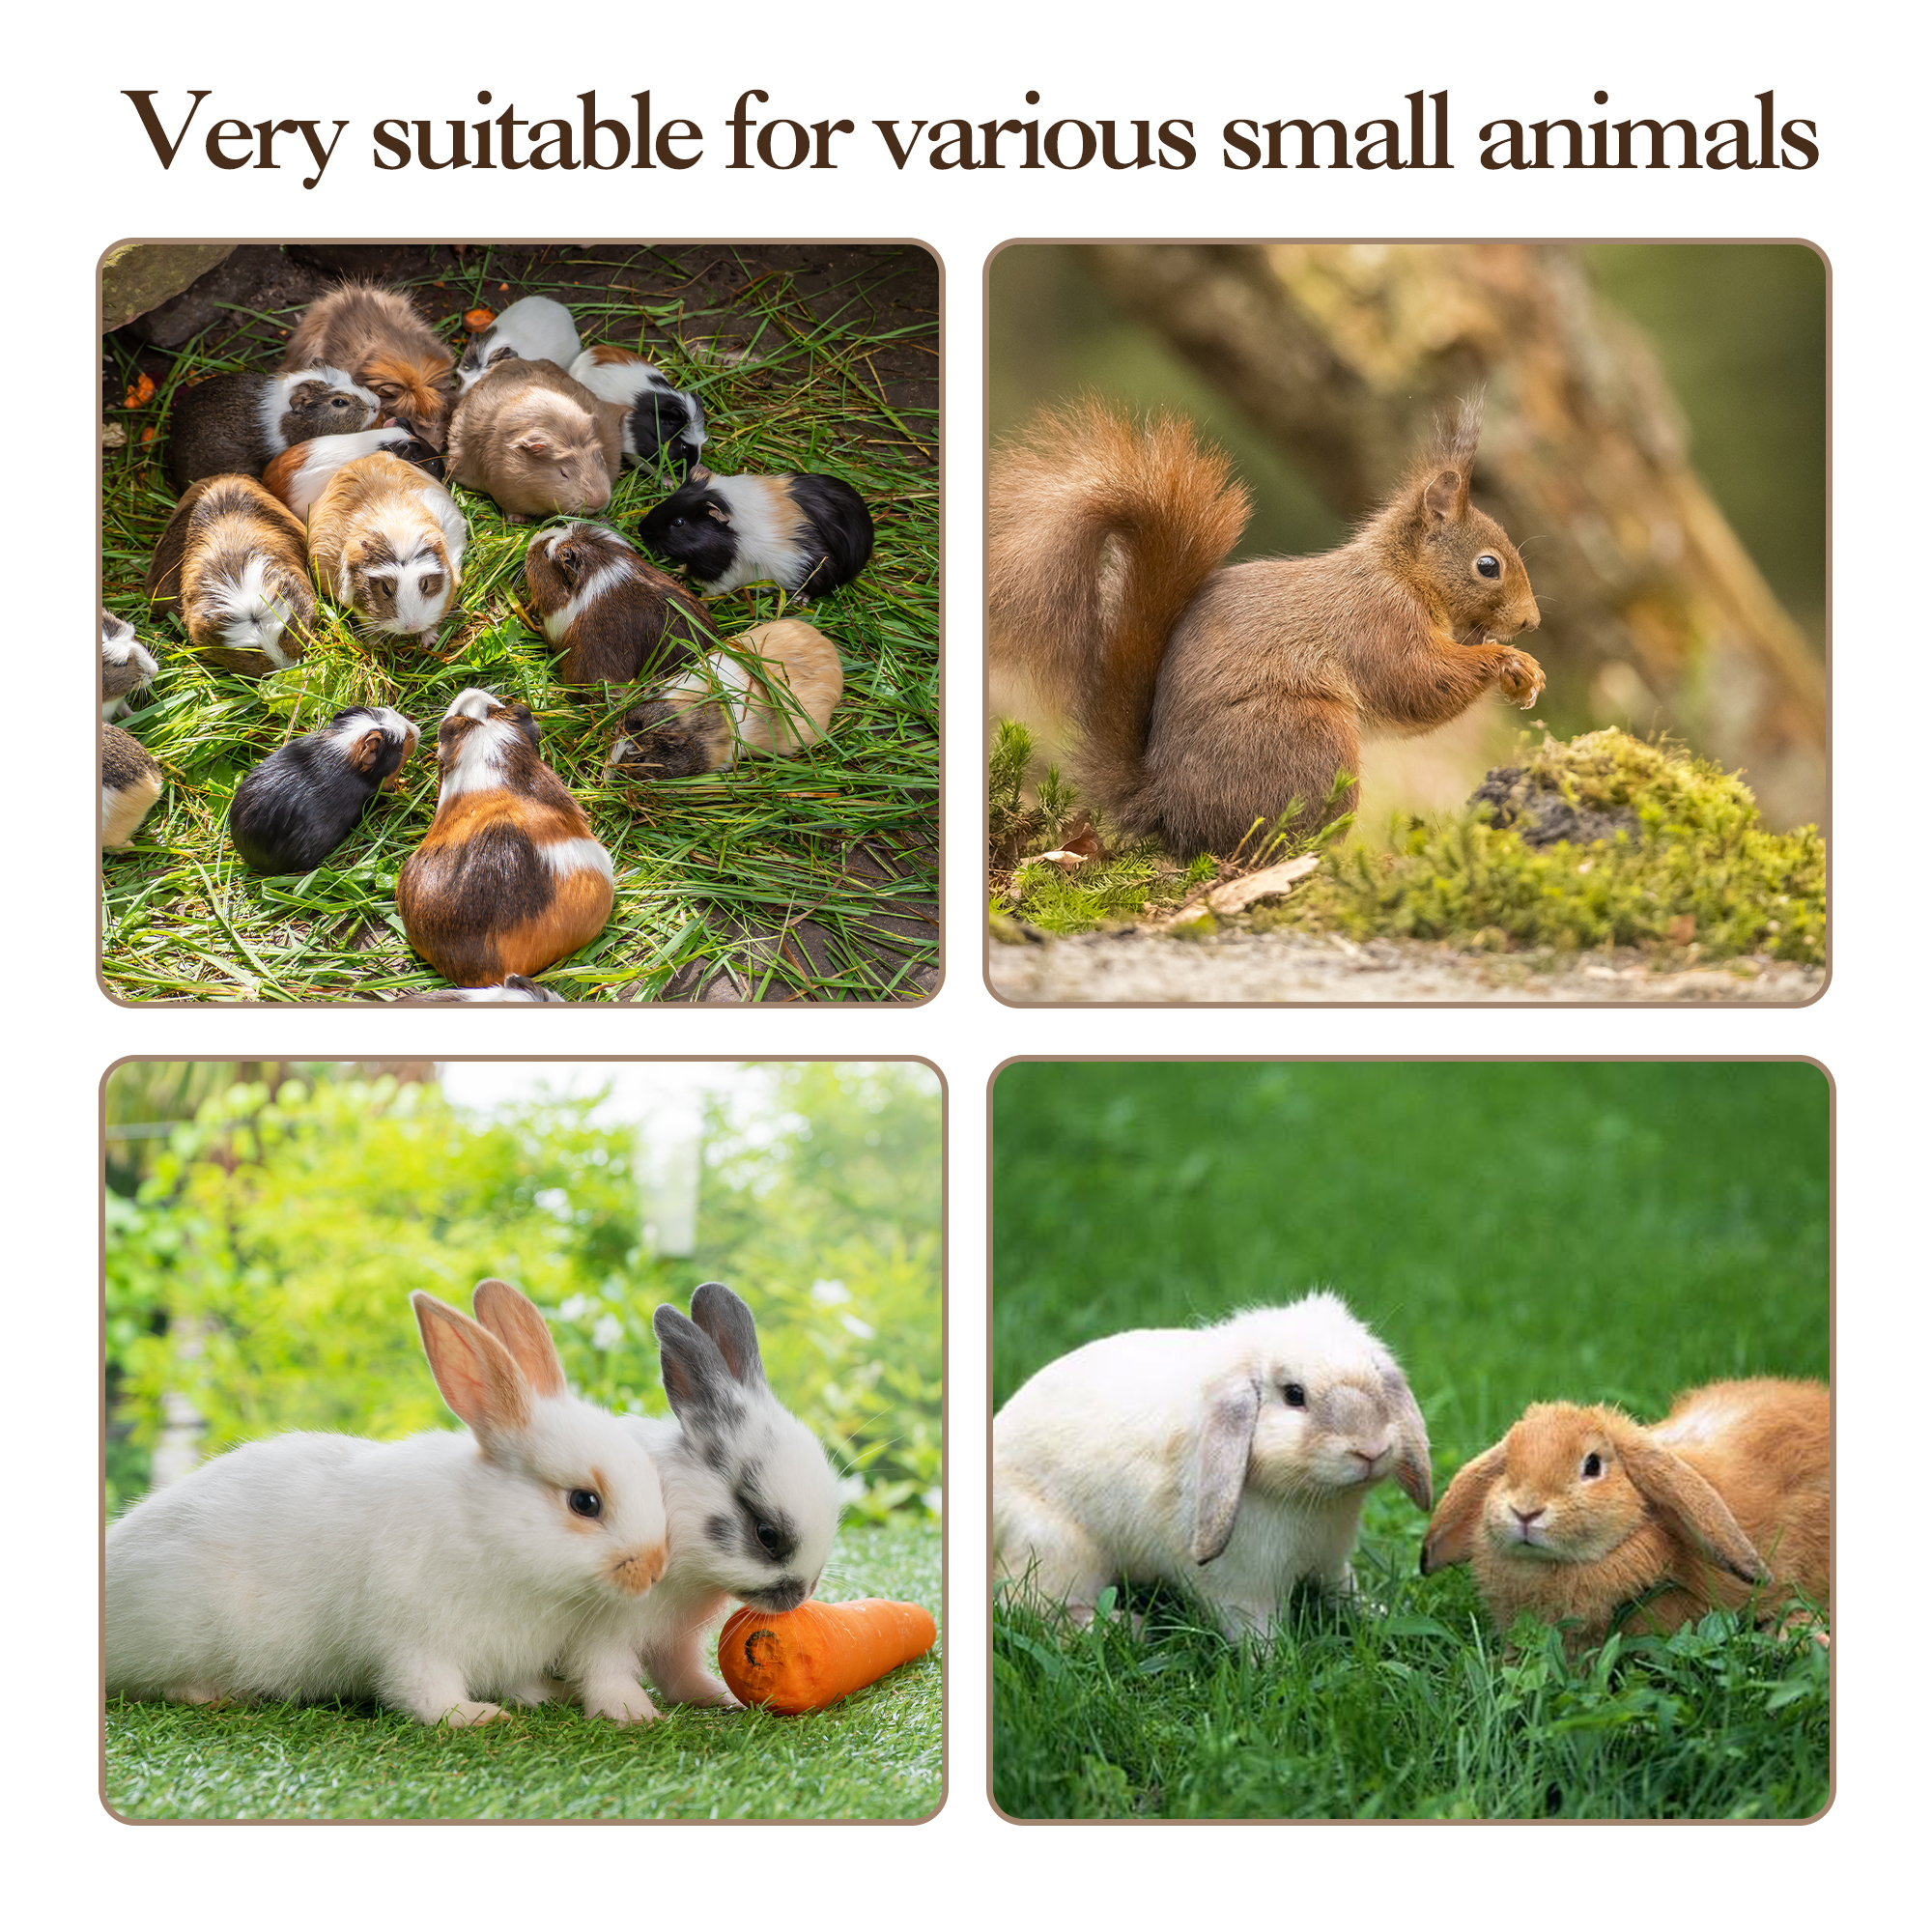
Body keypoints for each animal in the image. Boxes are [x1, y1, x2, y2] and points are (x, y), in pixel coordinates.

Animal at [988, 394, 1545, 857]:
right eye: (1488, 566)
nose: (1531, 621)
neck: (1401, 574)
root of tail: (1169, 809)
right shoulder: (1377, 624)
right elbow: (1416, 684)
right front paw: (1508, 661)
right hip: (1307, 739)